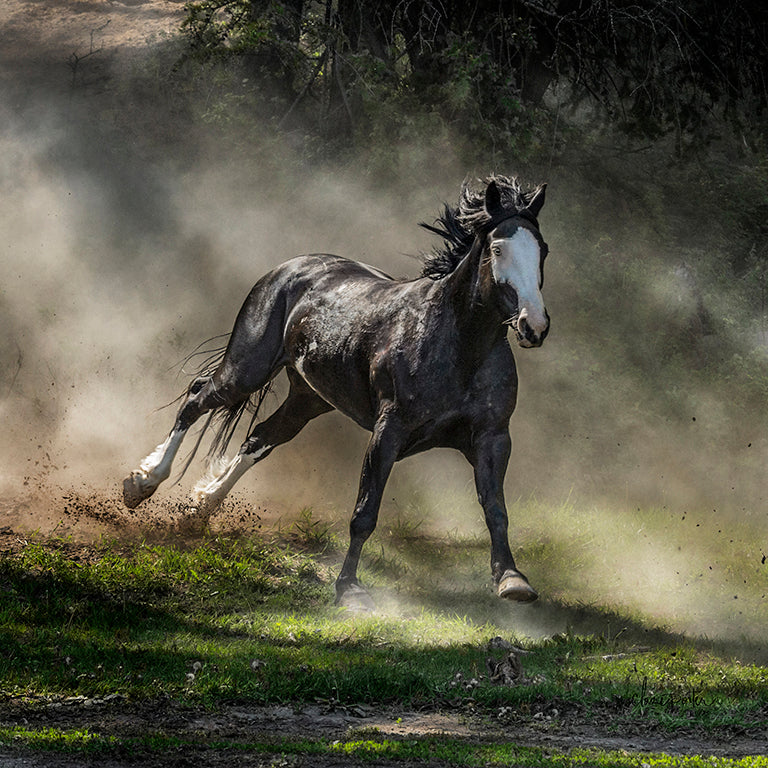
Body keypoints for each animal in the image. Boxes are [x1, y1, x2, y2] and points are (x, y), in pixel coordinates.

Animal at [123, 176, 548, 608]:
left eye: (542, 250)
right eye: (498, 249)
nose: (533, 326)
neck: (456, 342)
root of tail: (288, 268)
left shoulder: (493, 438)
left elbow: (495, 509)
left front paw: (512, 580)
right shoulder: (388, 432)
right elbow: (364, 513)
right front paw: (349, 587)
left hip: (307, 398)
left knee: (258, 438)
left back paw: (199, 510)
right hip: (246, 369)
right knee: (195, 400)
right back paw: (142, 484)